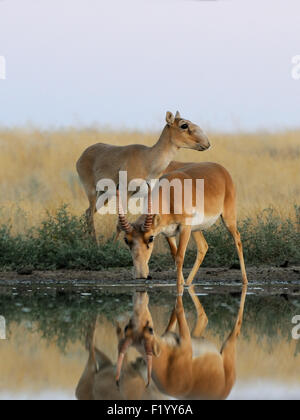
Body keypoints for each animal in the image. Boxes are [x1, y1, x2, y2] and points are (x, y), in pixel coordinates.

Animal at [76, 111, 210, 240]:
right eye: (184, 125)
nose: (207, 143)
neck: (148, 158)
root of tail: (83, 155)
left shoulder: (147, 195)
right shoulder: (126, 192)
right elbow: (120, 224)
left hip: (105, 195)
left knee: (88, 212)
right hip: (92, 192)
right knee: (90, 214)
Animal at [116, 286, 247, 400]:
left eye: (150, 329)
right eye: (127, 328)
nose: (135, 363)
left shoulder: (185, 338)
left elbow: (179, 308)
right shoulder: (169, 334)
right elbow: (174, 312)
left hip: (228, 345)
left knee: (238, 324)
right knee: (203, 318)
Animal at [117, 159, 248, 290]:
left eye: (150, 238)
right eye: (126, 240)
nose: (140, 275)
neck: (169, 195)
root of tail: (221, 169)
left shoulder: (184, 228)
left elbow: (180, 257)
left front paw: (178, 286)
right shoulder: (168, 233)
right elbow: (174, 255)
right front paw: (181, 283)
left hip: (228, 219)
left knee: (237, 239)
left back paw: (245, 281)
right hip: (195, 229)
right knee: (203, 246)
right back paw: (188, 283)